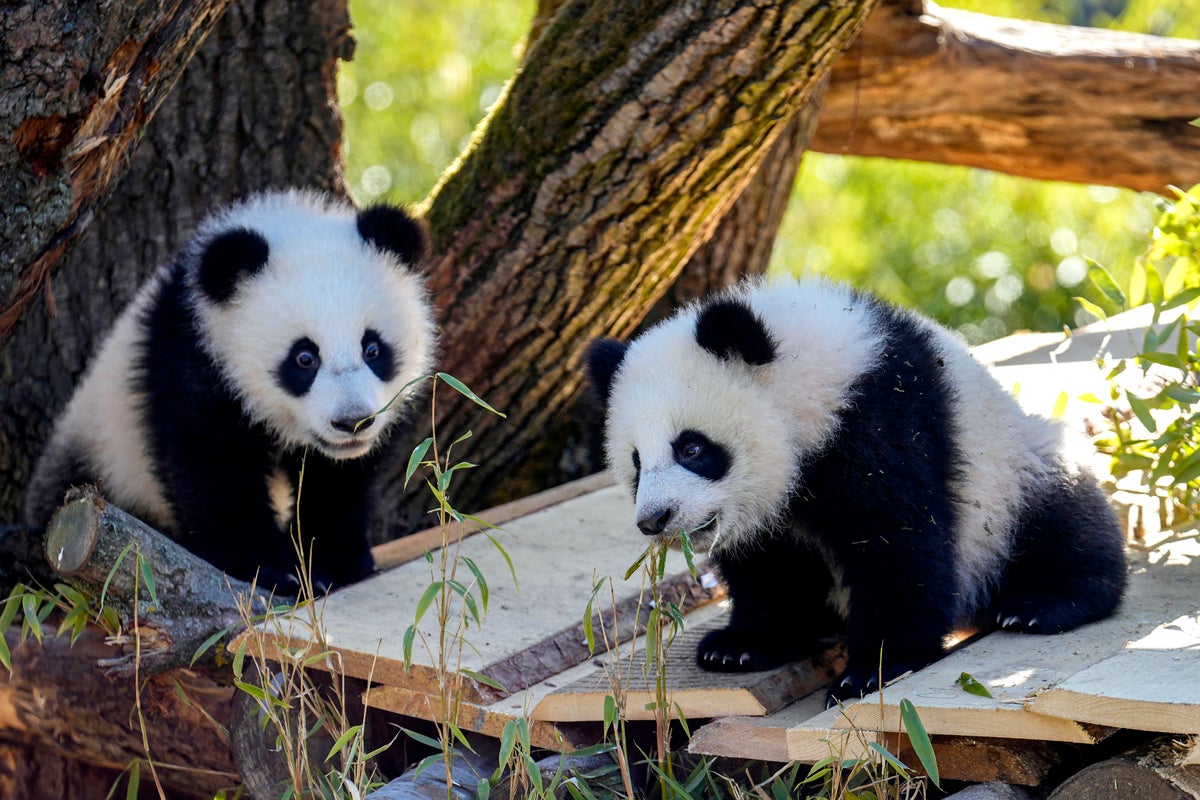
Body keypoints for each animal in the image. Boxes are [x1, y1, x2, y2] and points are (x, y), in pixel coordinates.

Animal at [23, 189, 439, 594]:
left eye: (373, 349)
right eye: (304, 358)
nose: (353, 422)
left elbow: (340, 482)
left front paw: (335, 561)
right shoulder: (190, 361)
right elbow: (212, 468)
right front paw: (274, 571)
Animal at [585, 278, 1128, 705]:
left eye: (692, 448)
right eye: (636, 462)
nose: (655, 519)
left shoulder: (880, 419)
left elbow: (897, 542)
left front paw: (873, 670)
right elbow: (769, 566)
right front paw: (739, 645)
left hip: (1013, 473)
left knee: (1063, 518)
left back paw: (1041, 603)